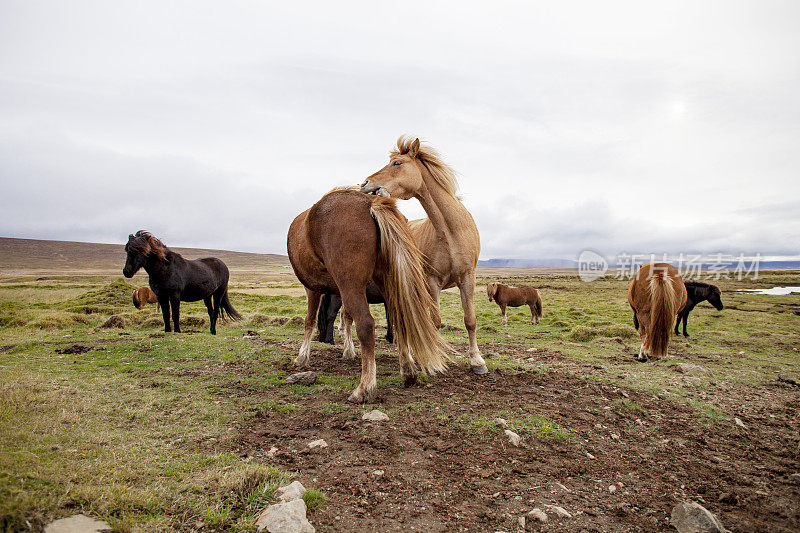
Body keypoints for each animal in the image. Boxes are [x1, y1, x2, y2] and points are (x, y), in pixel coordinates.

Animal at [288, 189, 450, 402]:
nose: (324, 339)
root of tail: (370, 202)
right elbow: (346, 319)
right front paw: (347, 351)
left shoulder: (313, 288)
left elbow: (310, 321)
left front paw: (302, 357)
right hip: (389, 284)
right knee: (400, 322)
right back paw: (408, 372)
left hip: (352, 285)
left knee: (365, 324)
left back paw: (365, 388)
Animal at [360, 135, 488, 372]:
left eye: (397, 163)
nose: (365, 183)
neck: (451, 231)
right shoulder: (433, 281)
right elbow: (435, 322)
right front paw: (434, 359)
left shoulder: (468, 278)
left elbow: (470, 320)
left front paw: (477, 361)